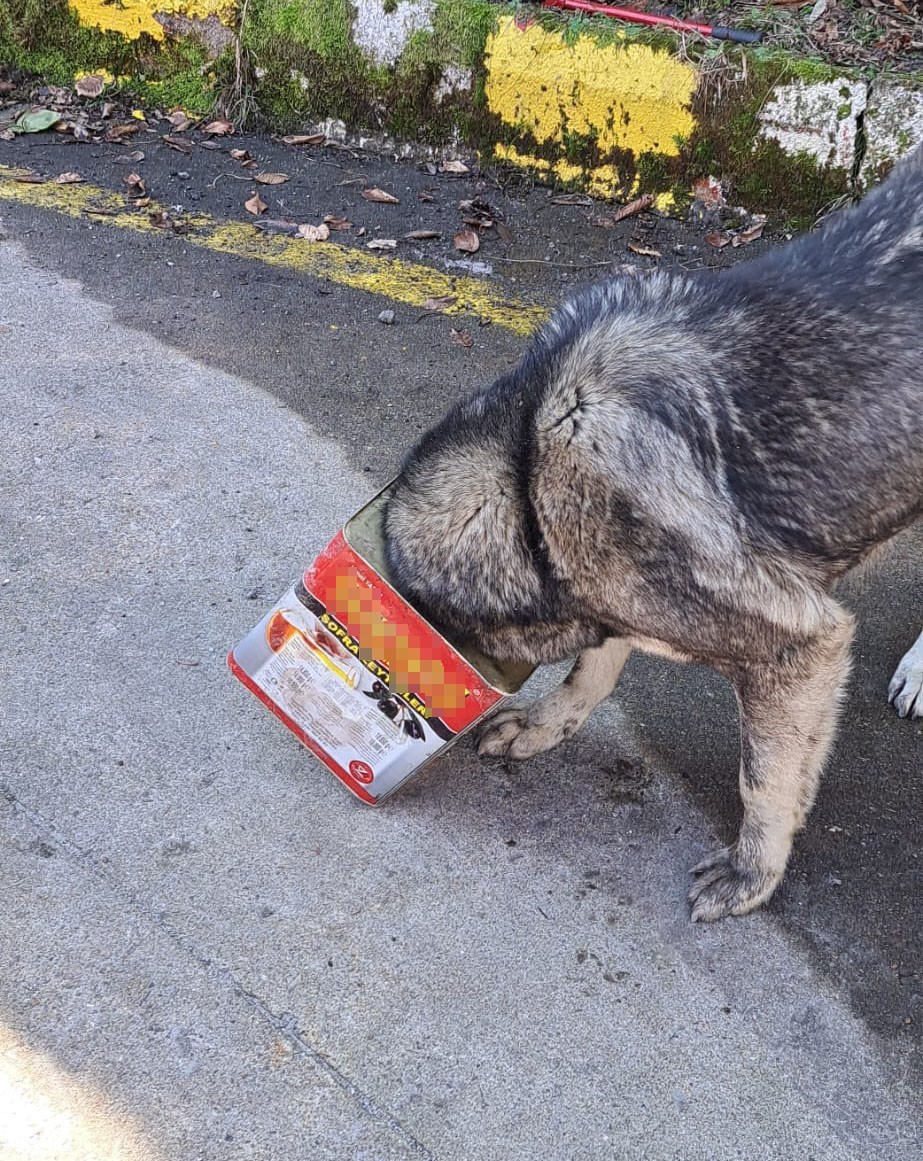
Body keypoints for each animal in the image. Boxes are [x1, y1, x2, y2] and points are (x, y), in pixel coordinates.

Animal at [385, 147, 923, 924]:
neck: (527, 463)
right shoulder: (608, 585)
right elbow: (591, 669)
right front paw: (545, 723)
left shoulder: (800, 646)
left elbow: (764, 776)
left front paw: (753, 871)